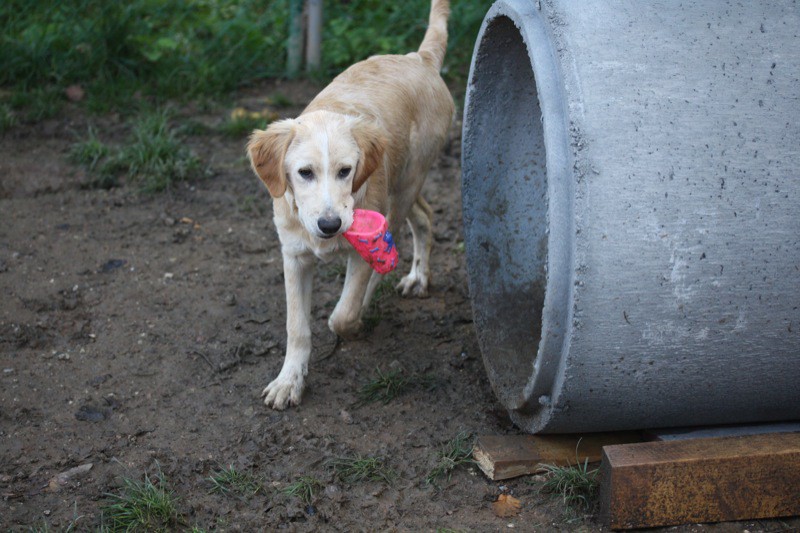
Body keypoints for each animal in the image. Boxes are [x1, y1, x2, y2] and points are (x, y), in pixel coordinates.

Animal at [244, 0, 456, 410]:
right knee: (425, 215)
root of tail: (419, 58)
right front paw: (289, 382)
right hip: (403, 185)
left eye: (346, 171)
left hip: (405, 184)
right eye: (304, 173)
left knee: (399, 238)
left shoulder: (362, 250)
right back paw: (418, 277)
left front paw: (355, 324)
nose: (330, 225)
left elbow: (342, 312)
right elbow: (297, 327)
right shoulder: (293, 256)